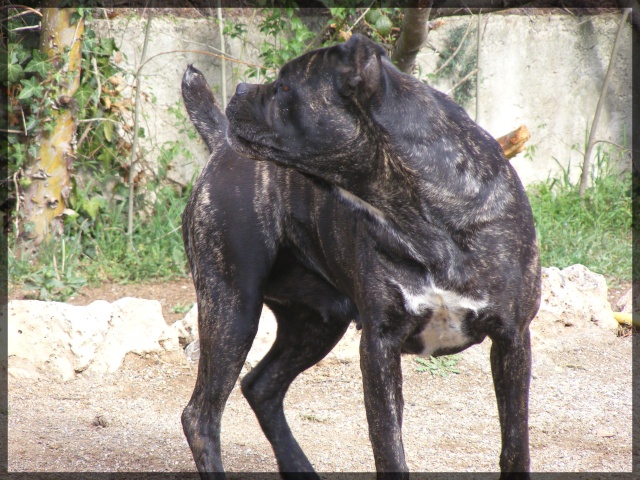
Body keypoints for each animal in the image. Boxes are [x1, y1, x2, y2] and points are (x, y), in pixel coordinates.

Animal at [180, 34, 540, 480]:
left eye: (284, 86)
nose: (242, 89)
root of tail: (219, 147)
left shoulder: (512, 338)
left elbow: (515, 442)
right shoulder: (380, 346)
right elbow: (388, 444)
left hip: (315, 322)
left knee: (260, 386)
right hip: (232, 309)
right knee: (202, 416)